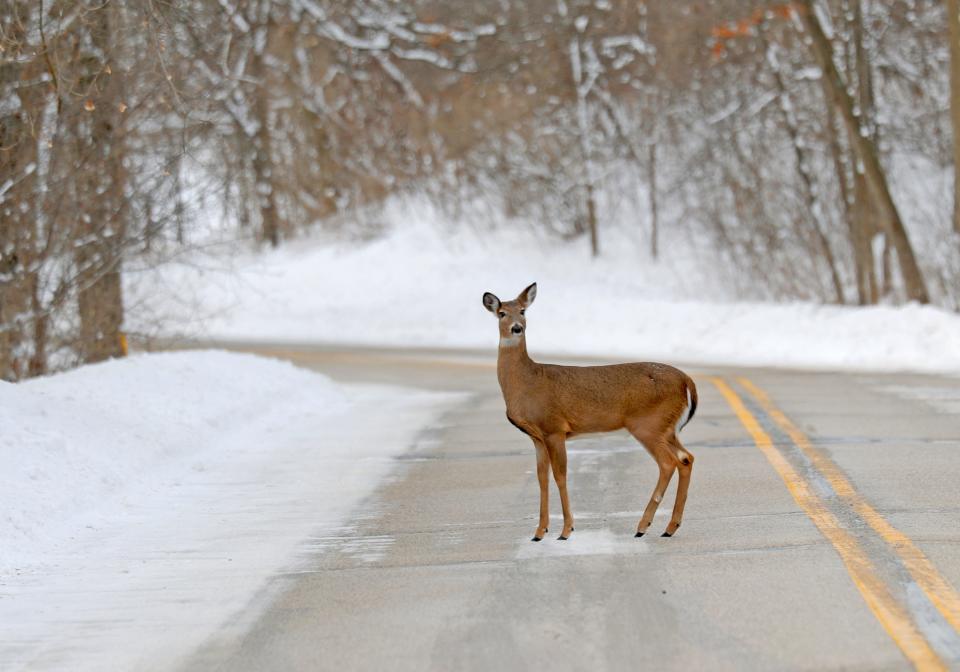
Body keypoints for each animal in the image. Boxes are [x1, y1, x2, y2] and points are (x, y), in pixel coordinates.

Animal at [480, 284, 696, 540]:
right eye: (502, 313)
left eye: (523, 311)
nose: (516, 328)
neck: (526, 382)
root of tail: (686, 380)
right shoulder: (537, 437)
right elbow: (542, 478)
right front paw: (539, 532)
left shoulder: (554, 428)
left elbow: (560, 476)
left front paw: (566, 530)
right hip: (667, 428)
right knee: (686, 458)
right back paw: (670, 527)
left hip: (648, 425)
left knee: (668, 463)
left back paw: (643, 526)